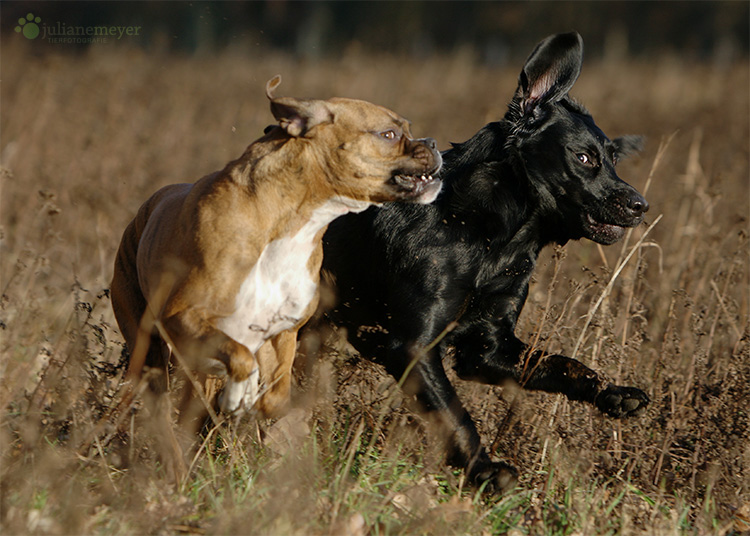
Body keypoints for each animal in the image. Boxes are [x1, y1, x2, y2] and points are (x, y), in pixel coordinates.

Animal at [110, 77, 440, 434]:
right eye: (388, 134)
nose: (433, 142)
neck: (289, 223)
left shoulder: (283, 334)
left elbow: (276, 395)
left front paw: (250, 402)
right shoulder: (182, 316)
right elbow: (241, 359)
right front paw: (237, 394)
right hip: (146, 350)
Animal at [318, 34, 652, 494]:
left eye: (614, 159)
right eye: (584, 159)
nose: (641, 205)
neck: (493, 235)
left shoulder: (487, 347)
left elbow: (561, 363)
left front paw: (611, 392)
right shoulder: (412, 346)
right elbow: (455, 416)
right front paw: (485, 472)